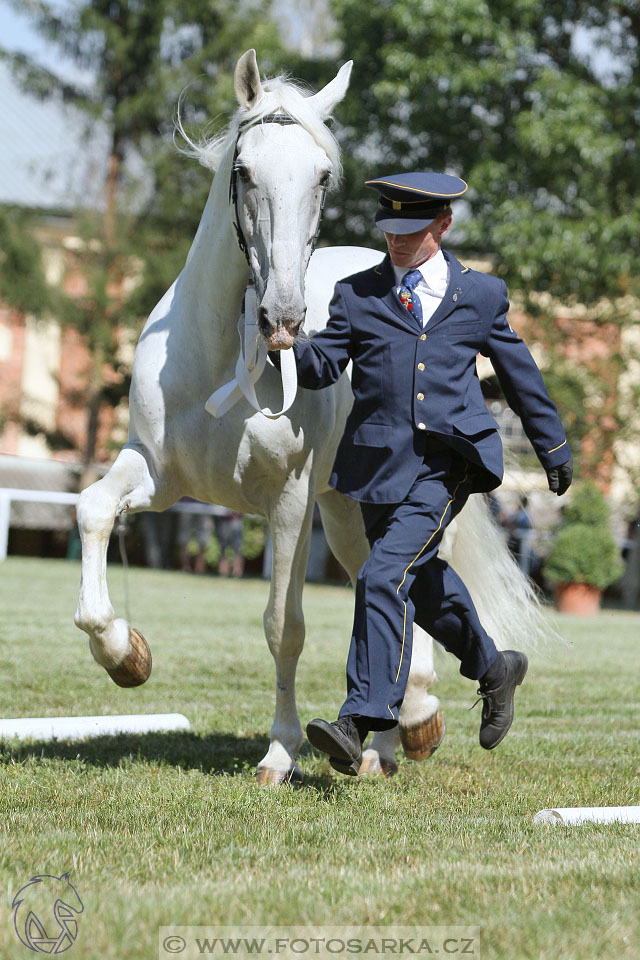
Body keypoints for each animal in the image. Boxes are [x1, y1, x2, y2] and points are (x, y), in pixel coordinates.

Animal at [74, 50, 544, 780]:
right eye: (244, 171)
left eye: (322, 176)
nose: (284, 317)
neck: (222, 358)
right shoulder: (156, 473)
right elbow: (93, 510)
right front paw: (126, 655)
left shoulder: (289, 502)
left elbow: (282, 626)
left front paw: (280, 751)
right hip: (346, 510)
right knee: (385, 584)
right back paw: (386, 740)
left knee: (412, 586)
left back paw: (409, 724)